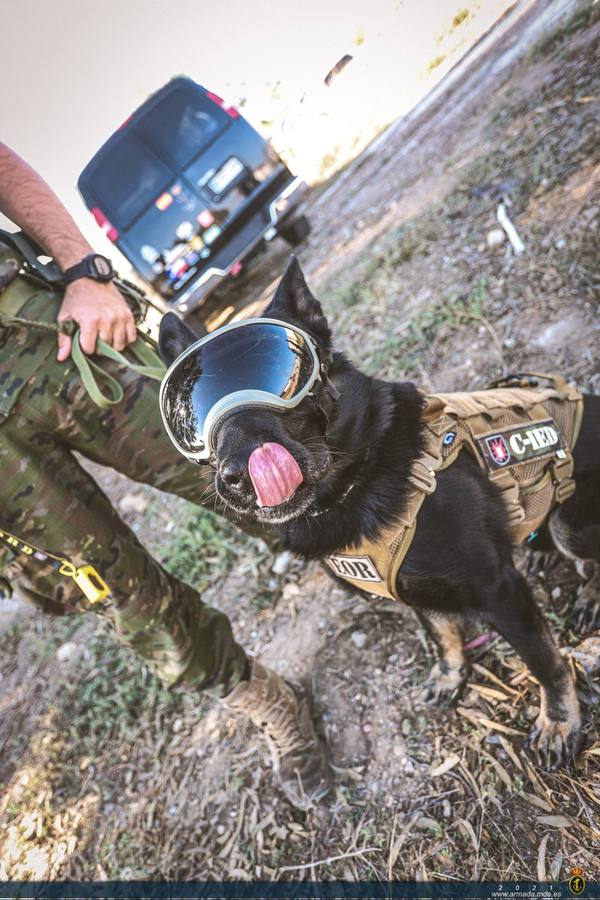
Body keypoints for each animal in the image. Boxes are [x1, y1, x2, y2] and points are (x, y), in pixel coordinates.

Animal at [159, 256, 600, 768]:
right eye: (191, 414)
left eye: (285, 373)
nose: (237, 475)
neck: (356, 481)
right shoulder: (412, 589)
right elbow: (441, 630)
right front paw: (451, 673)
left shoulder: (499, 589)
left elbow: (543, 659)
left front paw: (558, 721)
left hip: (569, 522)